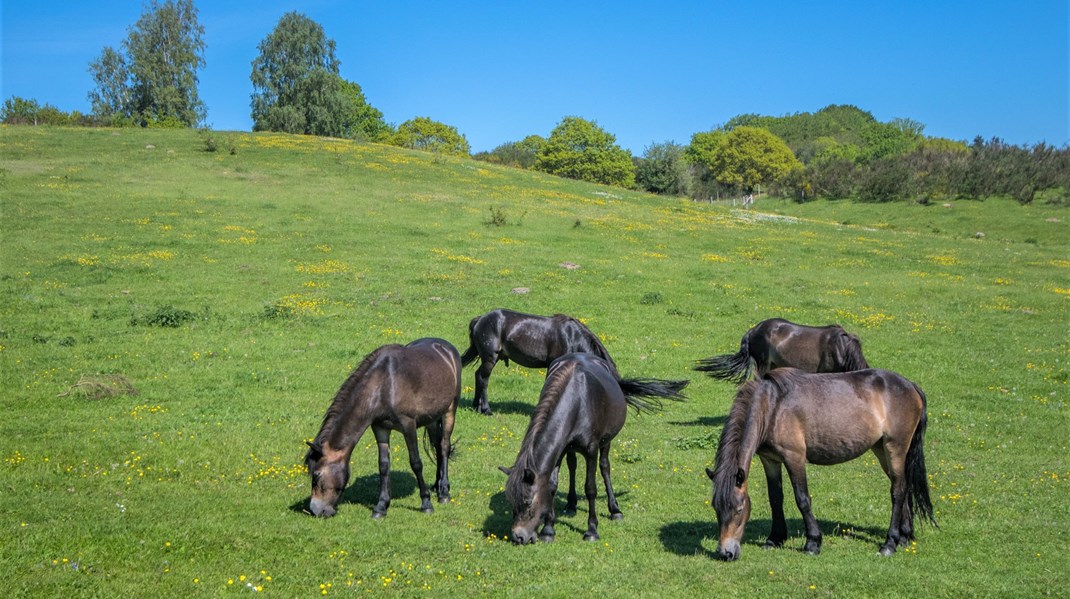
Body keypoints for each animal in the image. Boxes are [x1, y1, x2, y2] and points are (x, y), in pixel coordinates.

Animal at [301, 338, 460, 519]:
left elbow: (416, 463)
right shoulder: (380, 427)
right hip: (431, 418)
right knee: (437, 447)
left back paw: (444, 493)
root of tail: (446, 348)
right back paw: (437, 486)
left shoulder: (408, 425)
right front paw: (381, 507)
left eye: (316, 475)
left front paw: (426, 503)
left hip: (450, 410)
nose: (316, 510)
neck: (384, 384)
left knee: (444, 447)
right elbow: (383, 465)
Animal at [462, 308, 620, 417]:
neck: (572, 336)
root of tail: (480, 319)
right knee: (483, 379)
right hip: (490, 358)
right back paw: (486, 409)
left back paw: (476, 406)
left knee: (478, 376)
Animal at [498, 352, 689, 545]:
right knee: (573, 465)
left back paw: (615, 510)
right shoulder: (558, 452)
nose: (518, 537)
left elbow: (591, 488)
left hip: (606, 442)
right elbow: (551, 487)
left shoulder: (591, 451)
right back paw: (571, 504)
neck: (576, 401)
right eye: (512, 502)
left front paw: (592, 530)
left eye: (528, 502)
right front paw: (548, 530)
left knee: (605, 468)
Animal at [710, 367, 937, 560]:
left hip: (895, 448)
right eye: (716, 509)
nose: (725, 553)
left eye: (739, 510)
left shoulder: (794, 457)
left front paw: (813, 543)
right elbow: (775, 498)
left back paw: (889, 544)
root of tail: (911, 386)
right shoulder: (770, 460)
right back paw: (904, 537)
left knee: (897, 491)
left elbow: (802, 499)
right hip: (882, 450)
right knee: (904, 487)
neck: (772, 406)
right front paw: (775, 539)